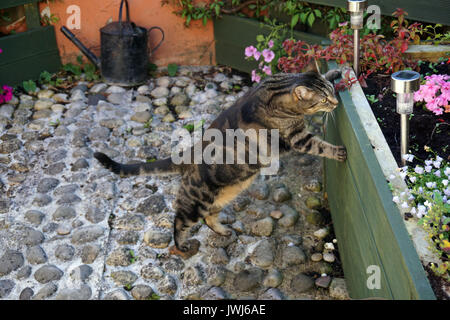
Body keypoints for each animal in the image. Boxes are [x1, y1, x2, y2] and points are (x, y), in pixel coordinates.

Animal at [95, 68, 346, 258]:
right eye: (324, 100)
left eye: (332, 92)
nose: (335, 102)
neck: (277, 88)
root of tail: (188, 155)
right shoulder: (297, 137)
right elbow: (319, 146)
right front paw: (338, 151)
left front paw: (335, 71)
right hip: (196, 202)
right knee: (179, 220)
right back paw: (181, 244)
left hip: (224, 195)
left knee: (209, 218)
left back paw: (223, 231)